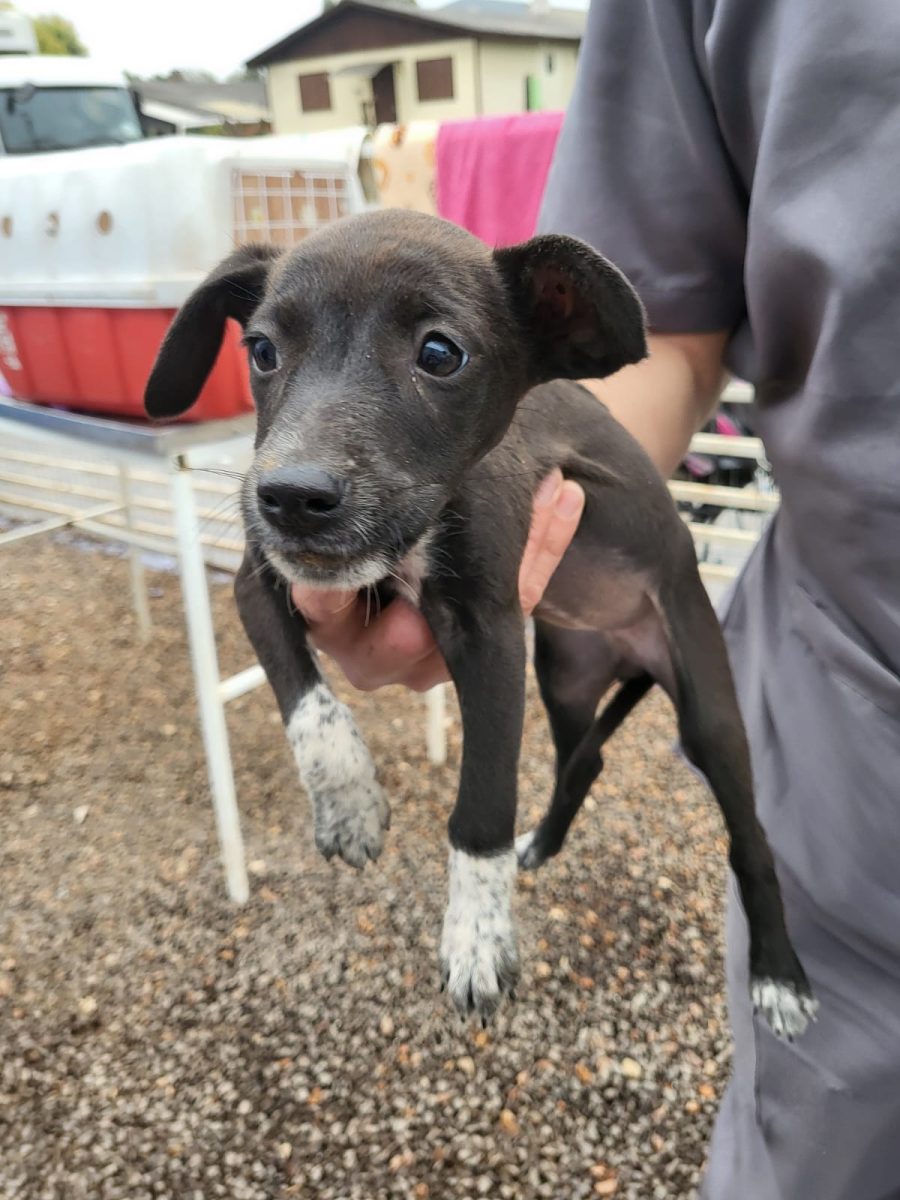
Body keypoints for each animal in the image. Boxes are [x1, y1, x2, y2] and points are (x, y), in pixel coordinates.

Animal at [144, 211, 820, 1036]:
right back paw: (543, 844)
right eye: (262, 351)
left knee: (749, 835)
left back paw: (778, 976)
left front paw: (476, 937)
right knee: (584, 760)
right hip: (564, 674)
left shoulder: (492, 632)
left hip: (706, 707)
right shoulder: (260, 579)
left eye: (440, 353)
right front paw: (349, 802)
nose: (291, 497)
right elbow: (306, 701)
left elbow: (482, 806)